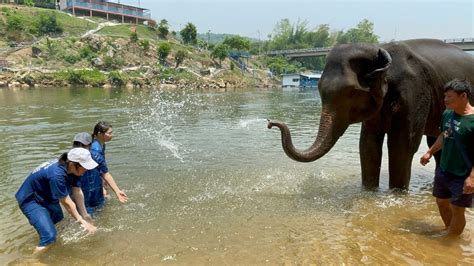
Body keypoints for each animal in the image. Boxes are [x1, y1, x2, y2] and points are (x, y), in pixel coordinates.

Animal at [268, 39, 472, 189]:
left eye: (351, 92)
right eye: (318, 88)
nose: (270, 122)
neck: (381, 50)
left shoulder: (415, 92)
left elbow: (402, 146)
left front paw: (397, 193)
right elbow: (367, 145)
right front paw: (368, 191)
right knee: (436, 142)